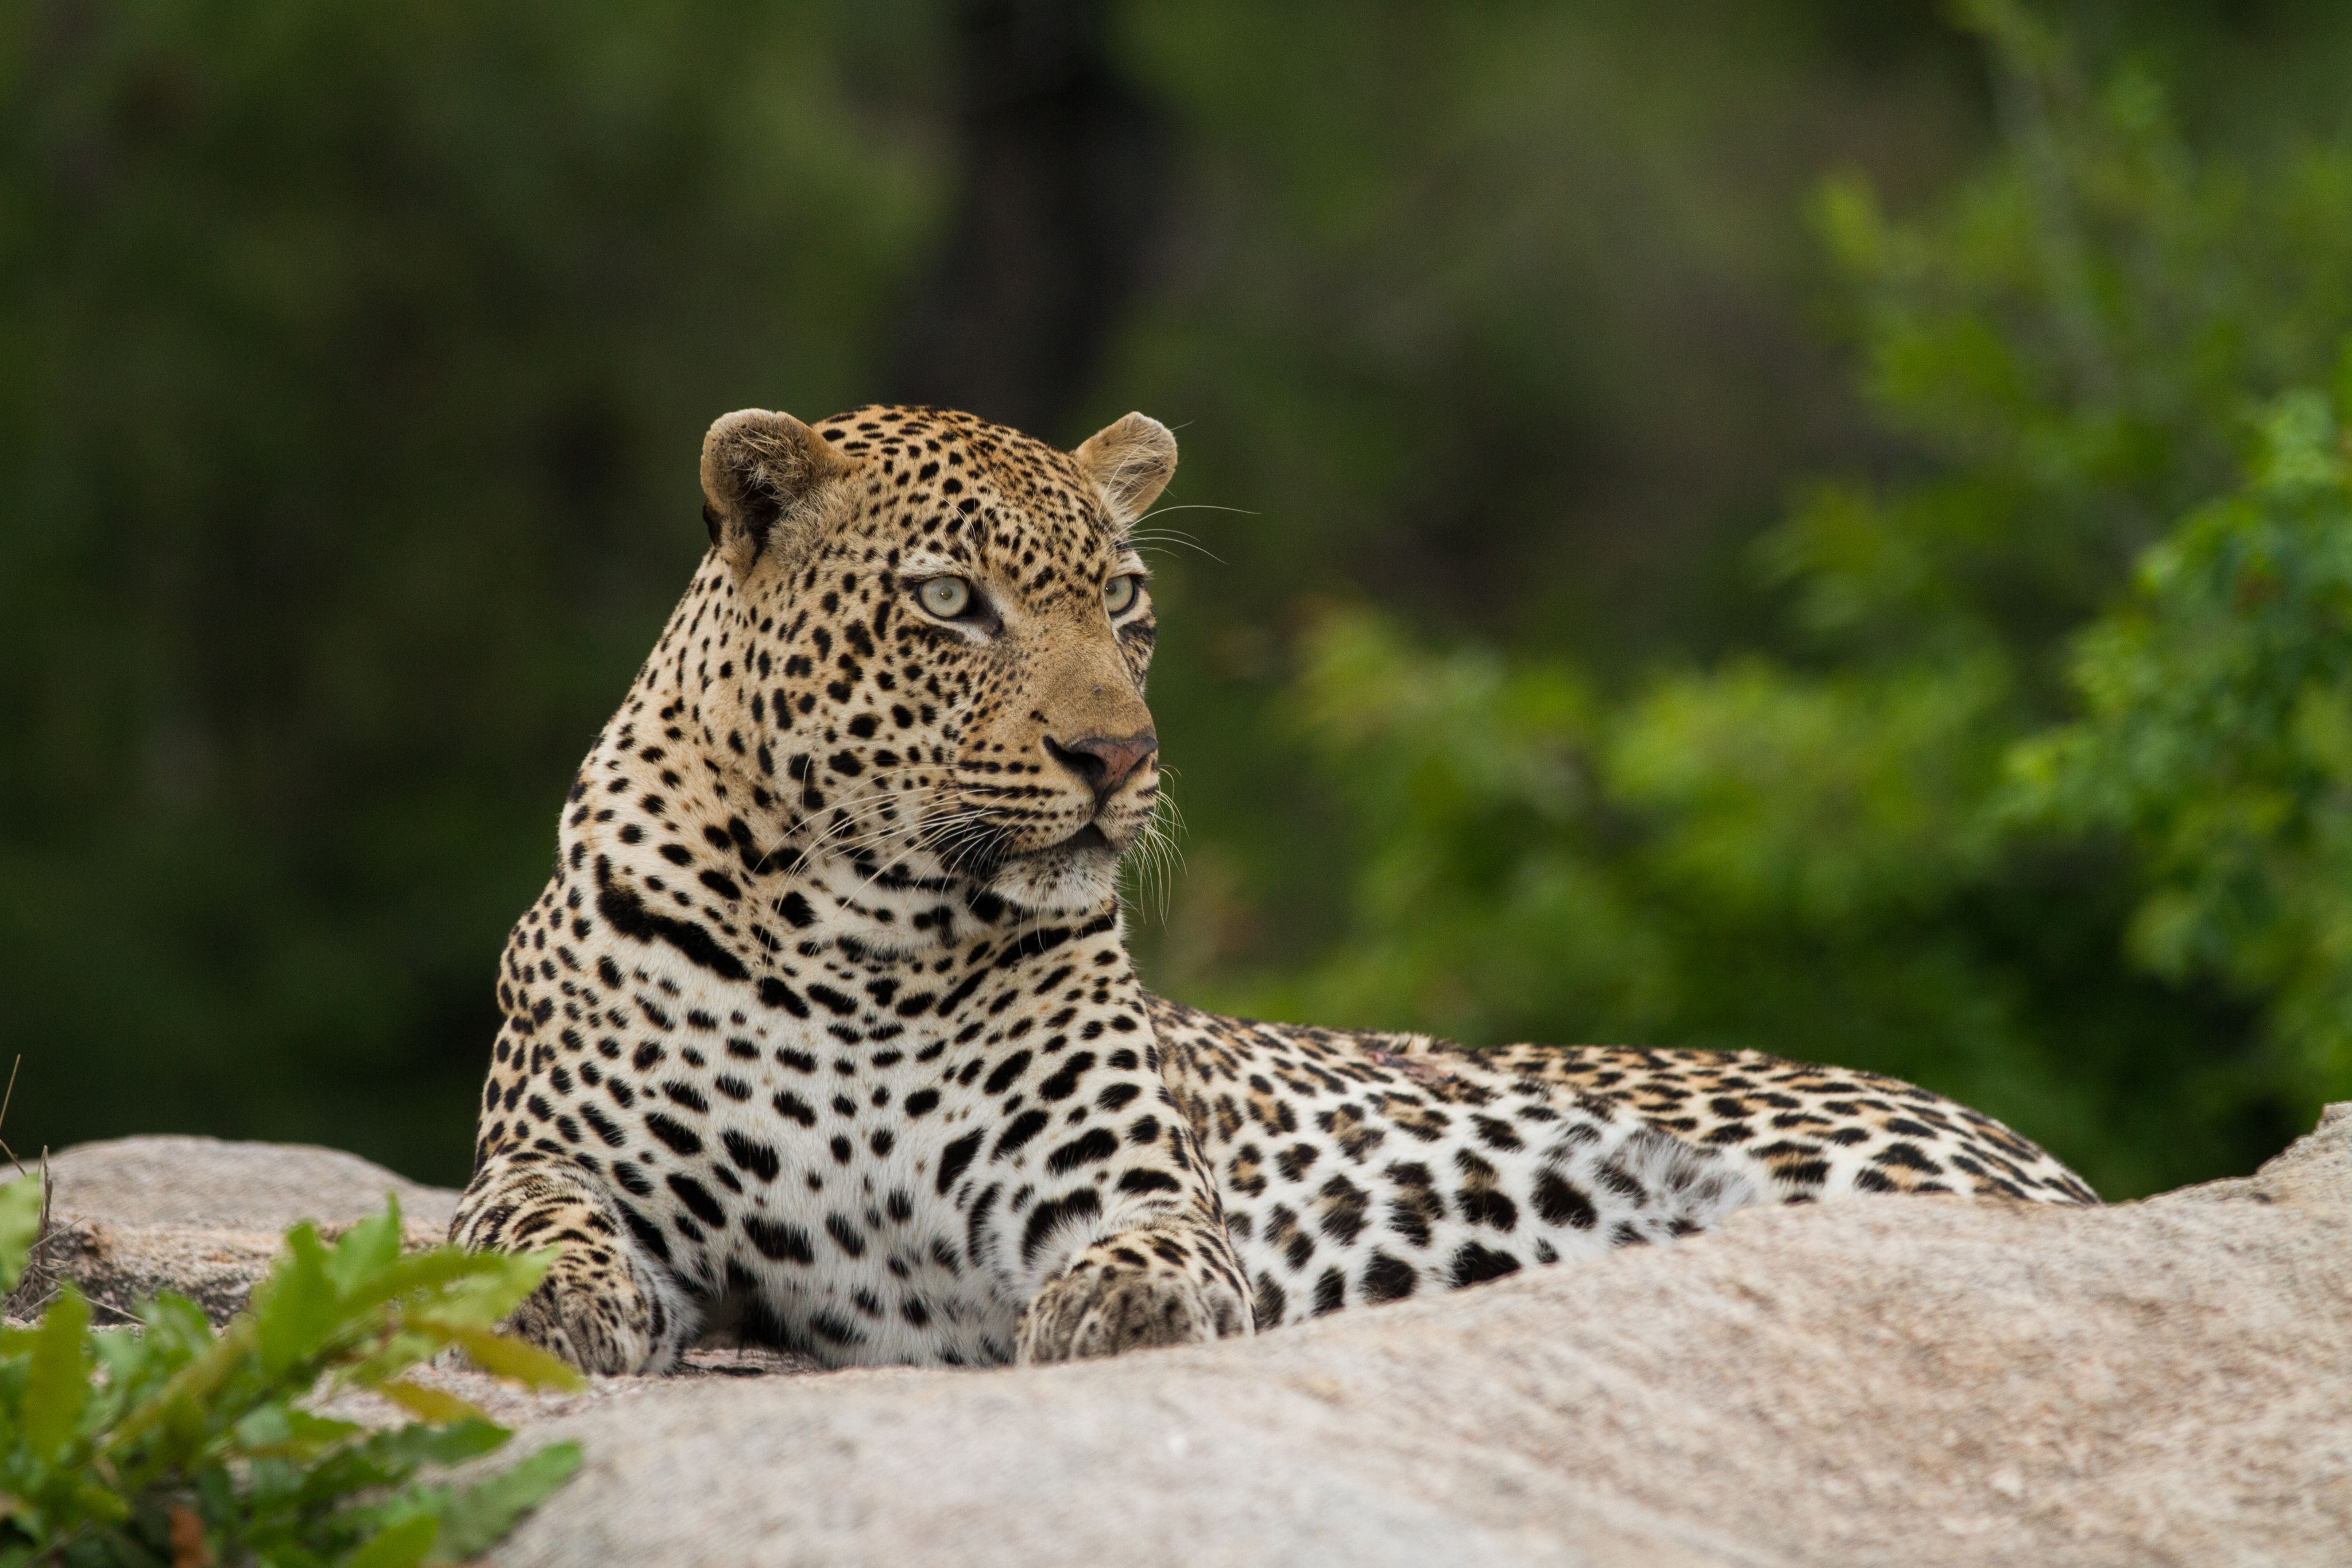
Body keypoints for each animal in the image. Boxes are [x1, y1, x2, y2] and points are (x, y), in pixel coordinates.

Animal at [451, 402, 2098, 1374]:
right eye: (948, 602)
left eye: (1124, 600)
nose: (1115, 753)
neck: (856, 930)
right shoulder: (562, 1153)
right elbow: (524, 1218)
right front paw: (551, 1300)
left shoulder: (1116, 1183)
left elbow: (1157, 1249)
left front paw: (1125, 1308)